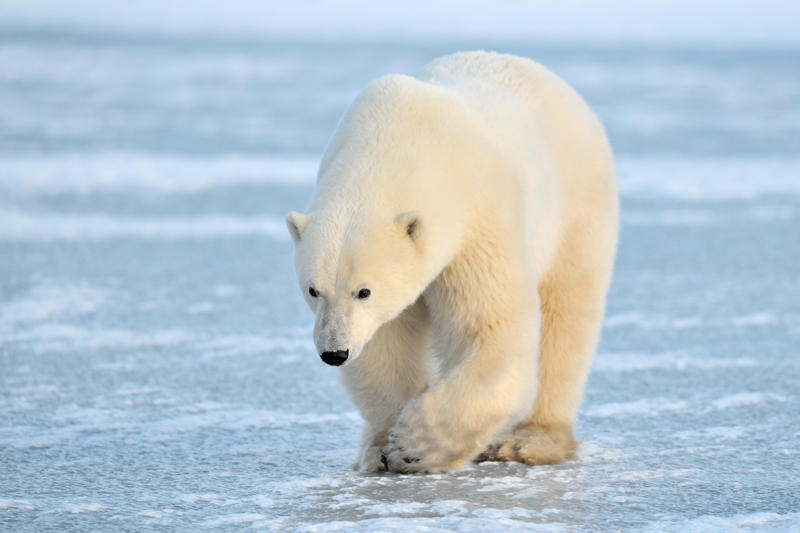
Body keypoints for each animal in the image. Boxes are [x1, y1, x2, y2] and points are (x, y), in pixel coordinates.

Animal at [286, 51, 618, 474]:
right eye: (313, 290)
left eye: (364, 291)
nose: (334, 353)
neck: (399, 139)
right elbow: (384, 344)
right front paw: (384, 447)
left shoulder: (478, 222)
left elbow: (489, 329)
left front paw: (415, 444)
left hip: (576, 209)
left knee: (566, 318)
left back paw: (529, 441)